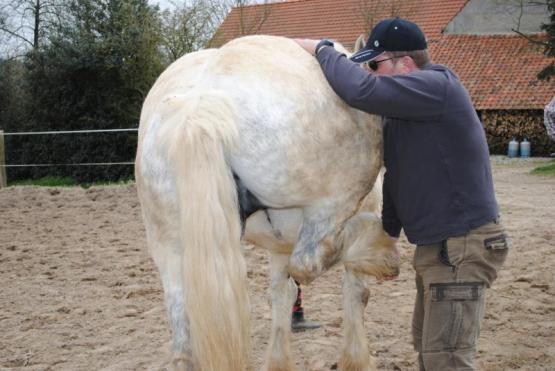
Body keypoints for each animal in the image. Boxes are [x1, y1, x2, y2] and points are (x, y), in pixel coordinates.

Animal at [137, 35, 402, 371]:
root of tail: (202, 103)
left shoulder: (277, 246)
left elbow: (281, 295)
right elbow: (356, 293)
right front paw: (357, 360)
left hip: (168, 246)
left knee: (182, 337)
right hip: (328, 208)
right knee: (308, 262)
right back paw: (381, 253)